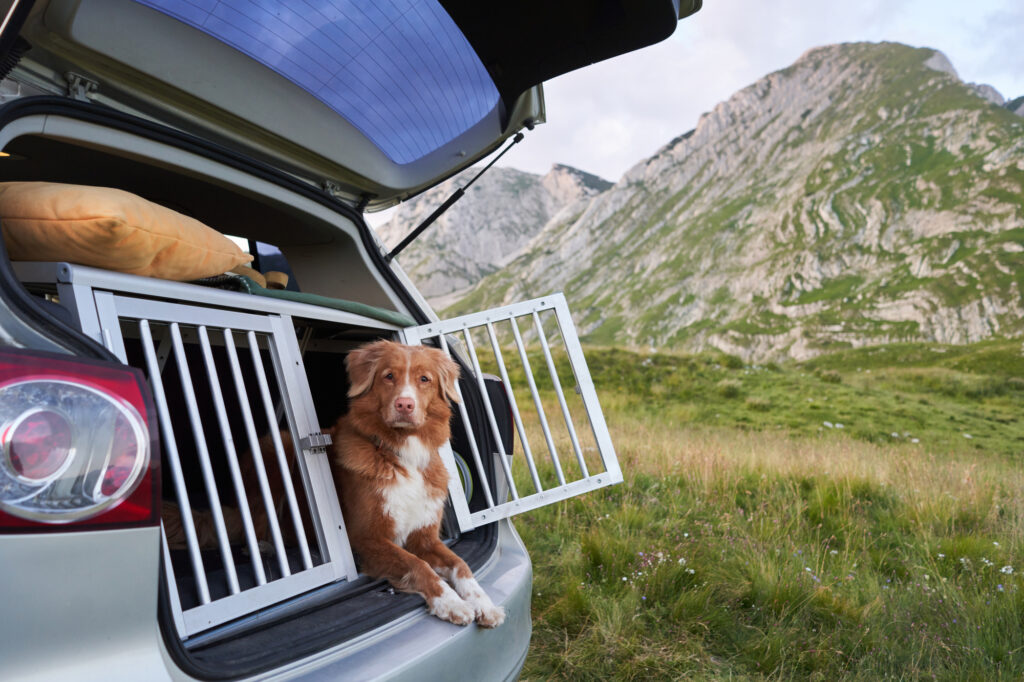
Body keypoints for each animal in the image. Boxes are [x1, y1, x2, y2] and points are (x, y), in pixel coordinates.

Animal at [327, 339, 503, 626]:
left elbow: (461, 564)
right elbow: (417, 564)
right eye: (388, 376)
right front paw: (451, 603)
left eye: (424, 379)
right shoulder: (368, 538)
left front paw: (484, 604)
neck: (403, 452)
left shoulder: (425, 537)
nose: (404, 405)